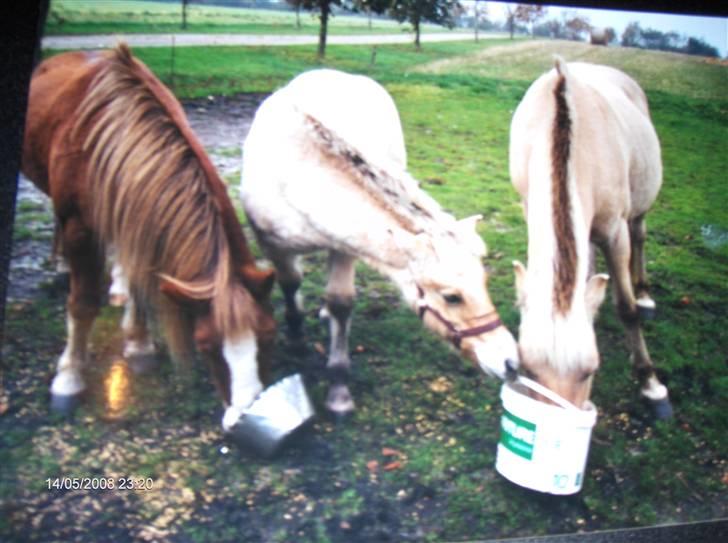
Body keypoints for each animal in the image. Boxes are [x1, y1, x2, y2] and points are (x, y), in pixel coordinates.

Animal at [21, 44, 277, 434]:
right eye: (205, 346)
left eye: (267, 336)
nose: (244, 420)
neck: (114, 136)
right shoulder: (80, 227)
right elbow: (82, 304)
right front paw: (68, 380)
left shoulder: (141, 217)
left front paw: (139, 345)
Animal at [241, 68, 519, 416]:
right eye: (452, 297)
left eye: (484, 282)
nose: (511, 362)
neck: (295, 173)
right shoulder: (271, 243)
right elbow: (290, 283)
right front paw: (295, 335)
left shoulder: (343, 246)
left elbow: (340, 302)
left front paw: (339, 392)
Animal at [509, 58, 672, 418]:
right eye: (528, 369)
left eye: (590, 370)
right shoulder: (529, 208)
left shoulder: (615, 233)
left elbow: (626, 309)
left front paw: (651, 385)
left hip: (638, 206)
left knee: (640, 235)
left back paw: (645, 295)